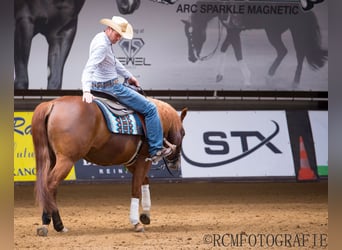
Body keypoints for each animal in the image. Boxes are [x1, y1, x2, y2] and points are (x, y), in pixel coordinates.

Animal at [31, 95, 187, 234]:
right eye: (184, 133)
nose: (175, 163)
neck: (157, 120)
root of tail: (52, 104)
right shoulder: (144, 159)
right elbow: (136, 188)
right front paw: (136, 223)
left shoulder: (131, 162)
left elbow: (144, 181)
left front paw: (145, 215)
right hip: (66, 160)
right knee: (50, 185)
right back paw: (50, 224)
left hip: (53, 159)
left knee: (50, 189)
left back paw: (55, 225)